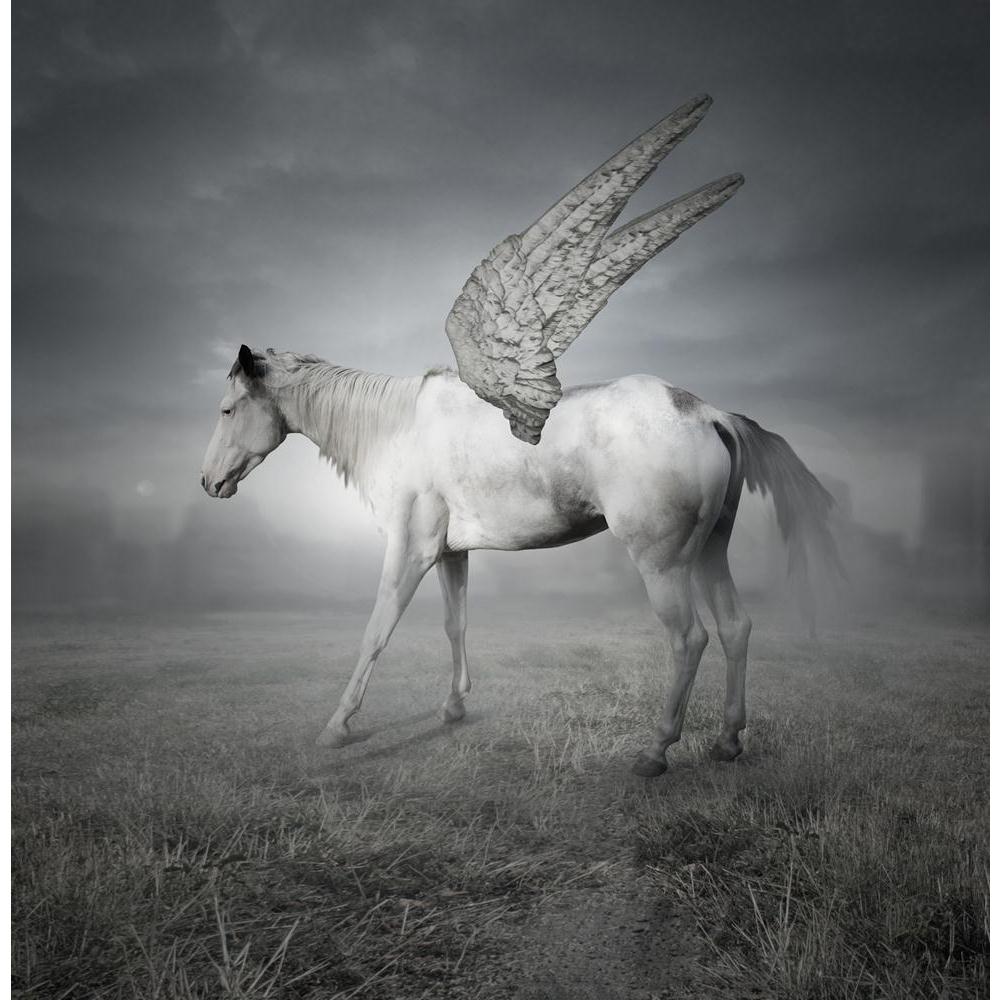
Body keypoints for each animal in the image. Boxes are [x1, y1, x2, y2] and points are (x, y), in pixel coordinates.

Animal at [200, 345, 836, 776]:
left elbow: (376, 633)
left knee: (690, 639)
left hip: (664, 566)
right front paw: (454, 706)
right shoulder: (450, 554)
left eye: (228, 410)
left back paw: (656, 751)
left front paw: (339, 725)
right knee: (735, 628)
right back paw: (728, 741)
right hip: (708, 555)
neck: (401, 429)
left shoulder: (410, 550)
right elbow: (455, 625)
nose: (208, 483)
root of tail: (706, 413)